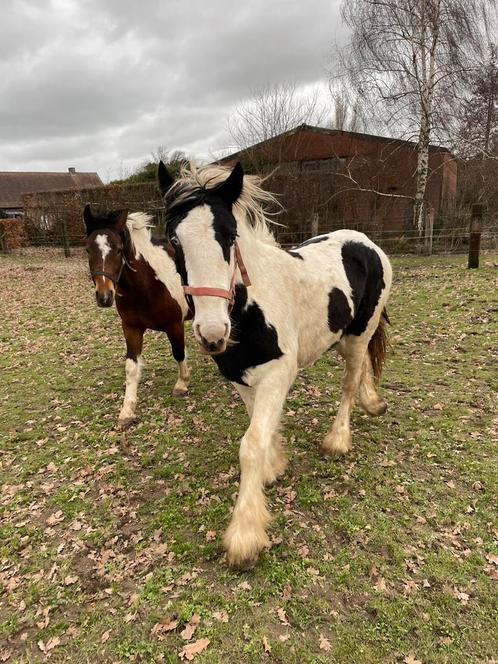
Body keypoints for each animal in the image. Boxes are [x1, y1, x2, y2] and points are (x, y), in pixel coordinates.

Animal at [83, 205, 191, 428]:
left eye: (118, 249)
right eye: (88, 249)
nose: (104, 296)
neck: (149, 284)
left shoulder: (175, 325)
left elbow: (179, 353)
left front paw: (181, 384)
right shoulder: (131, 328)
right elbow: (131, 367)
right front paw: (127, 411)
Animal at [160, 160, 392, 564]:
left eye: (229, 236)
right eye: (175, 241)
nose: (212, 333)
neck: (252, 307)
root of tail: (366, 243)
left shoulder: (277, 377)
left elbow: (251, 444)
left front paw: (245, 533)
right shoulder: (241, 377)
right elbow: (259, 427)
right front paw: (274, 465)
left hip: (358, 336)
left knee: (349, 382)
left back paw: (337, 439)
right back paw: (371, 402)